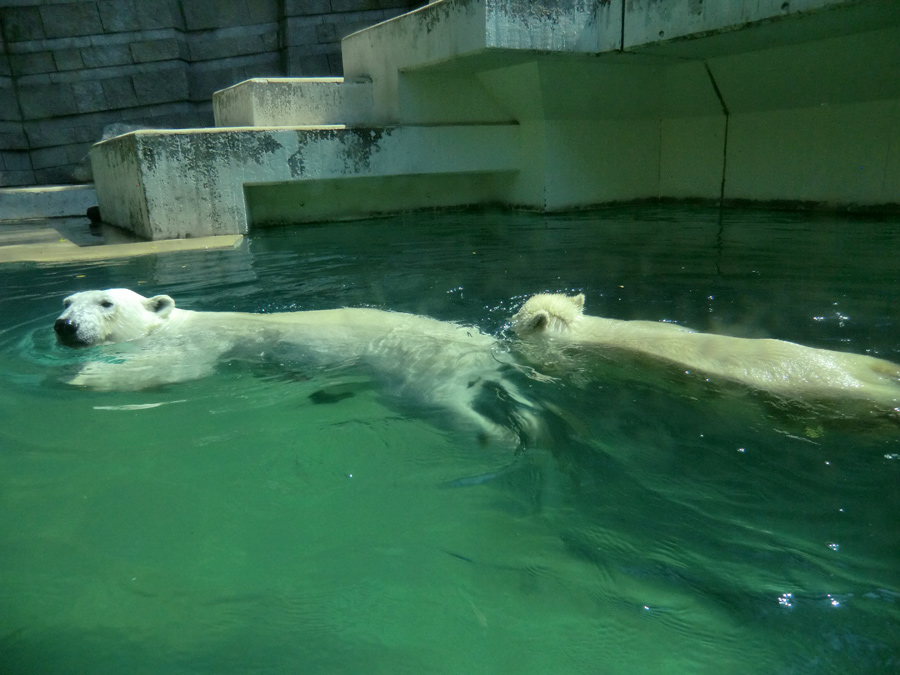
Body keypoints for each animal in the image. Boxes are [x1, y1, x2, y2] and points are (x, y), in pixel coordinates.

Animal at [59, 288, 544, 446]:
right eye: (67, 302)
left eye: (105, 303)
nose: (64, 326)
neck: (178, 321)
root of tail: (492, 344)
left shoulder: (201, 342)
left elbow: (179, 368)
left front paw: (86, 377)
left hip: (416, 362)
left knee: (429, 400)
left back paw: (497, 435)